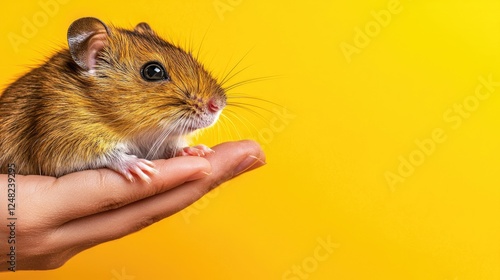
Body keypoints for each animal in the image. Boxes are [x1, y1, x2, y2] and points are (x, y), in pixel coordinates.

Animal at [0, 18, 227, 184]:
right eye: (153, 71)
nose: (219, 105)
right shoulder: (62, 140)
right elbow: (106, 155)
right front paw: (138, 166)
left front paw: (197, 150)